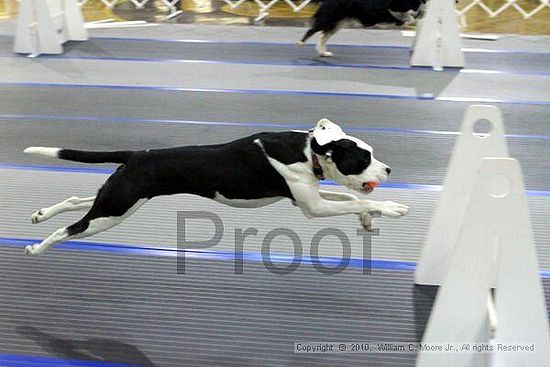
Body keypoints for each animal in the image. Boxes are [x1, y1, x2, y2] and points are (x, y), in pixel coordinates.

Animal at [22, 119, 410, 258]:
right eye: (363, 158)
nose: (389, 169)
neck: (309, 149)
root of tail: (137, 154)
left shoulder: (310, 196)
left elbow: (349, 196)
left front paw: (368, 219)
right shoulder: (312, 206)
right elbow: (355, 199)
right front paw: (391, 208)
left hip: (120, 200)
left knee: (77, 201)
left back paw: (41, 214)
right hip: (114, 212)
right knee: (71, 229)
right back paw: (38, 247)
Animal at [298, 0, 426, 56]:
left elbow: (414, 15)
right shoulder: (393, 7)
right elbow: (408, 15)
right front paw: (407, 19)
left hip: (337, 24)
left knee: (323, 37)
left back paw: (323, 53)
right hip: (330, 19)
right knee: (312, 30)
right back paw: (300, 43)